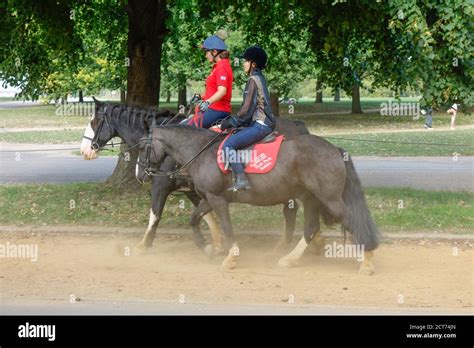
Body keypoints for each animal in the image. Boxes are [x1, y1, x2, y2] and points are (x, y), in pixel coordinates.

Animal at [80, 98, 312, 256]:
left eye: (95, 121)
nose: (85, 150)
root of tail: (297, 125)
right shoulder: (193, 190)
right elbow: (207, 217)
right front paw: (216, 243)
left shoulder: (161, 185)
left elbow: (155, 214)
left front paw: (144, 245)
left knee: (291, 210)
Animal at [135, 123, 380, 274]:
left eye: (142, 146)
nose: (141, 174)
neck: (202, 152)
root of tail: (334, 149)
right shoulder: (209, 198)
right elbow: (194, 219)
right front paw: (207, 247)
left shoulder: (218, 200)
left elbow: (226, 227)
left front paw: (230, 258)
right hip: (311, 199)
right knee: (311, 228)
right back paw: (289, 258)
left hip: (330, 200)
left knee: (352, 221)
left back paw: (367, 260)